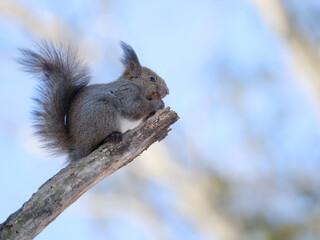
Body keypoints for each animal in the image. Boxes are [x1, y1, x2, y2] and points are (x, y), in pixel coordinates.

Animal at [18, 40, 169, 162]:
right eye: (151, 79)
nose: (167, 92)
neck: (134, 84)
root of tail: (77, 147)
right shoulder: (126, 94)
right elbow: (135, 109)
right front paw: (157, 104)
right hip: (102, 112)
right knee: (93, 145)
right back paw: (111, 137)